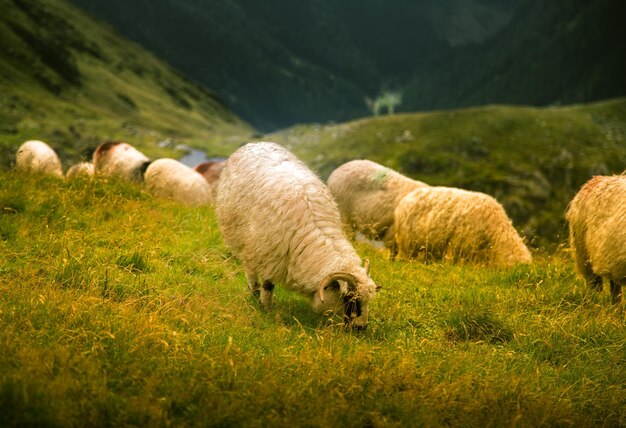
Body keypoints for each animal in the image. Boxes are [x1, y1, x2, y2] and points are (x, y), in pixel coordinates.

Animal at [214, 142, 380, 330]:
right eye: (350, 298)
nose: (360, 328)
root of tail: (255, 143)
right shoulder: (269, 257)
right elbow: (268, 285)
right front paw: (266, 309)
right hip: (246, 242)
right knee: (250, 270)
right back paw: (254, 292)